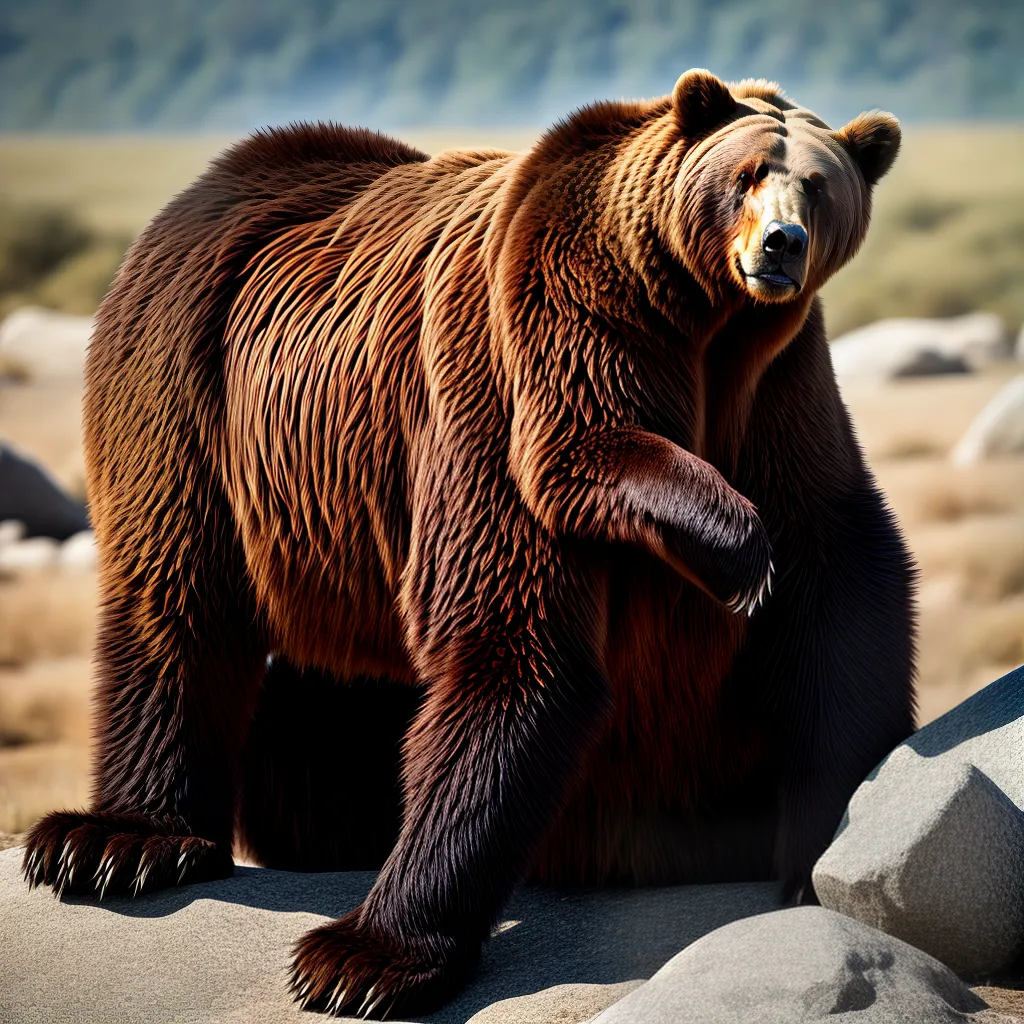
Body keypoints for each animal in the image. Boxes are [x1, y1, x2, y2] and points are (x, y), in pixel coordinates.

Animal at [23, 69, 915, 1018]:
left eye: (818, 186)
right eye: (747, 174)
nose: (782, 244)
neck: (695, 323)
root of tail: (229, 172)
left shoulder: (777, 397)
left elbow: (842, 589)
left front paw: (819, 858)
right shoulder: (508, 376)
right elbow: (516, 640)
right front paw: (360, 961)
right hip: (192, 389)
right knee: (176, 599)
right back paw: (114, 842)